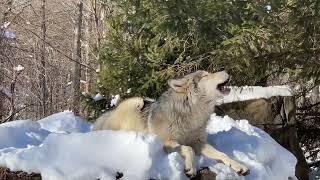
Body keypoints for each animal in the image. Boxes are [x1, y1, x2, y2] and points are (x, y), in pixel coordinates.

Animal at [92, 70, 250, 177]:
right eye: (205, 75)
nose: (228, 71)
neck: (192, 114)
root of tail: (108, 114)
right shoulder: (167, 143)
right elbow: (188, 149)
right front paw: (190, 168)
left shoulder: (198, 142)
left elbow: (223, 154)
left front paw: (239, 166)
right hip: (136, 101)